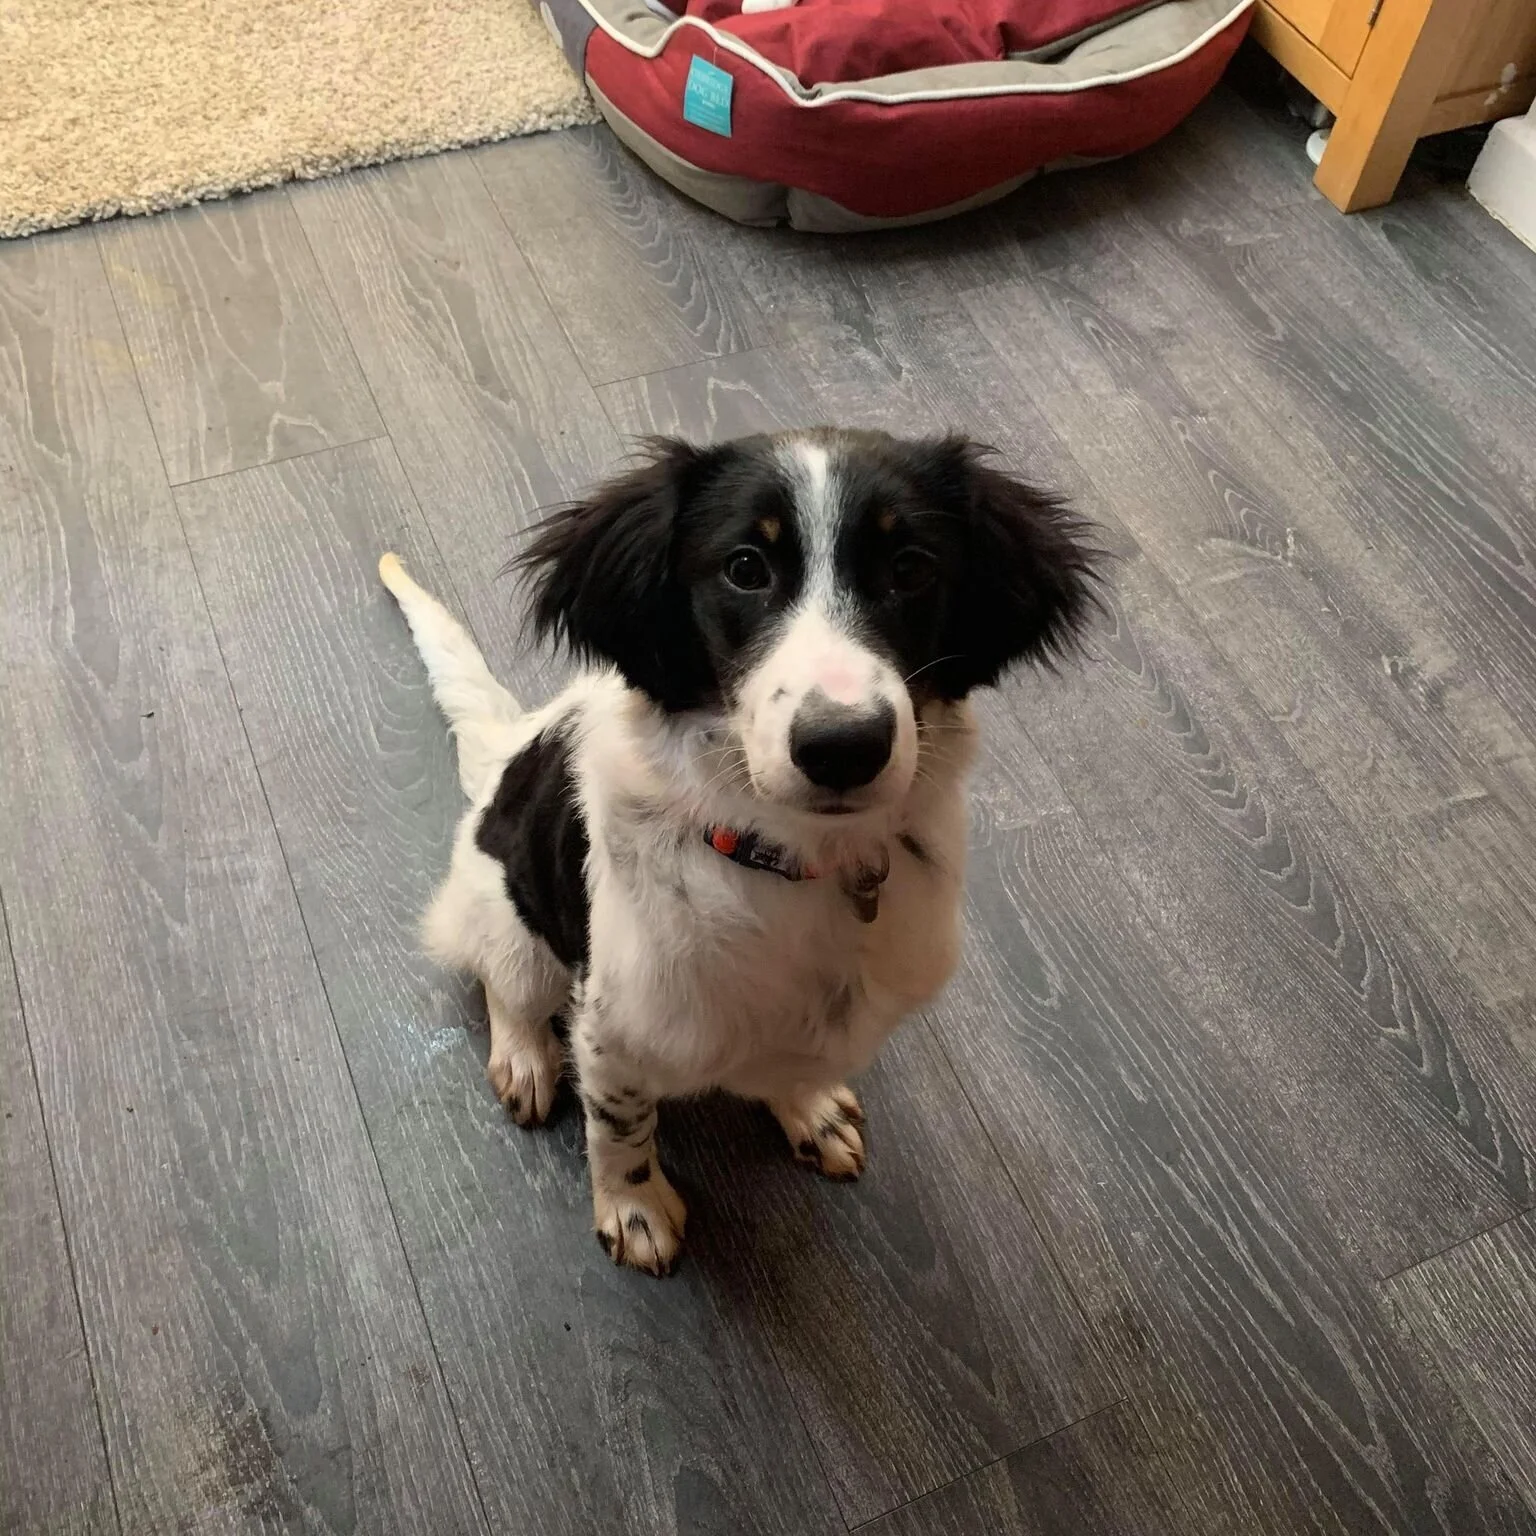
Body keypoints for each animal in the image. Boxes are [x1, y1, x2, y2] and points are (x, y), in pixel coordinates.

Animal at [379, 428, 1101, 1275]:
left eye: (911, 567)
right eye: (746, 568)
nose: (843, 747)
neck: (791, 858)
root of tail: (504, 754)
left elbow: (796, 1059)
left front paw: (809, 1109)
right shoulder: (613, 1027)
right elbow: (619, 1126)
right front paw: (633, 1208)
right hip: (506, 912)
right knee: (507, 984)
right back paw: (524, 1058)